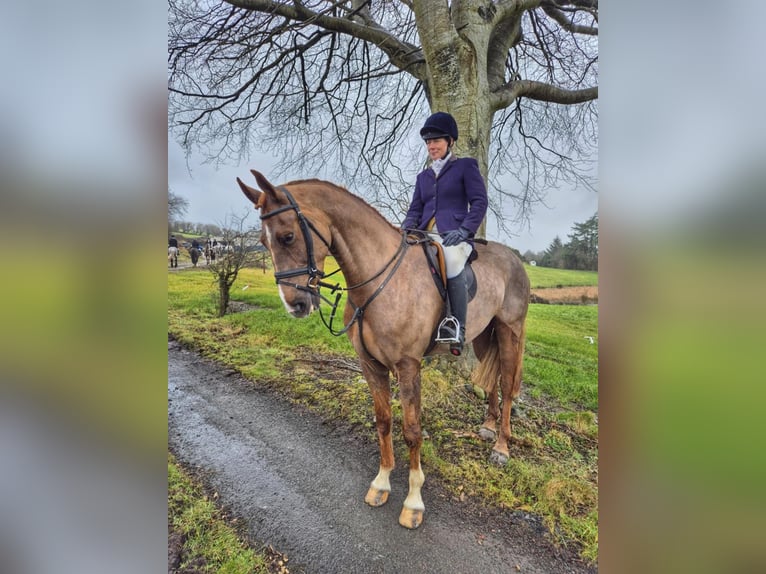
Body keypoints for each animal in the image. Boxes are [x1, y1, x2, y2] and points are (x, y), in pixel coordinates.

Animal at [237, 170, 532, 532]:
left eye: (288, 236)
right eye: (263, 242)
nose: (296, 305)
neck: (376, 281)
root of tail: (514, 259)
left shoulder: (408, 366)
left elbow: (412, 431)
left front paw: (413, 502)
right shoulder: (370, 364)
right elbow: (383, 421)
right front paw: (381, 483)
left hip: (509, 330)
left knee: (506, 382)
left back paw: (502, 445)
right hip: (483, 334)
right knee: (492, 379)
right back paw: (488, 425)